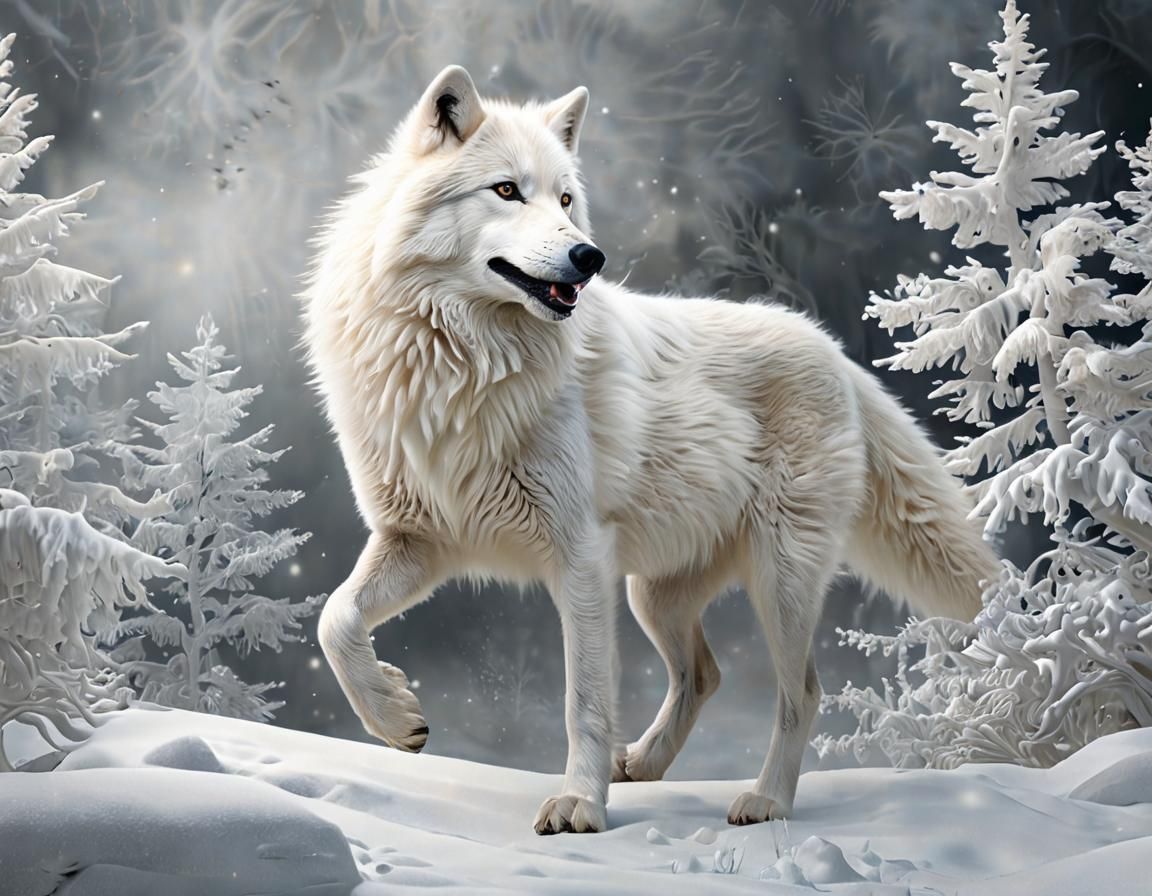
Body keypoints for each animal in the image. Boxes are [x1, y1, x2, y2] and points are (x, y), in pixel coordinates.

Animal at [302, 66, 999, 835]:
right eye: (507, 190)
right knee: (705, 672)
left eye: (566, 199)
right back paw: (640, 764)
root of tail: (837, 354)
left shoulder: (578, 557)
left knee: (804, 692)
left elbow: (584, 700)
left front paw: (578, 803)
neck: (461, 360)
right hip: (652, 594)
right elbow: (334, 620)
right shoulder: (419, 542)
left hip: (777, 583)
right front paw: (396, 717)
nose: (588, 256)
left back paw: (766, 801)